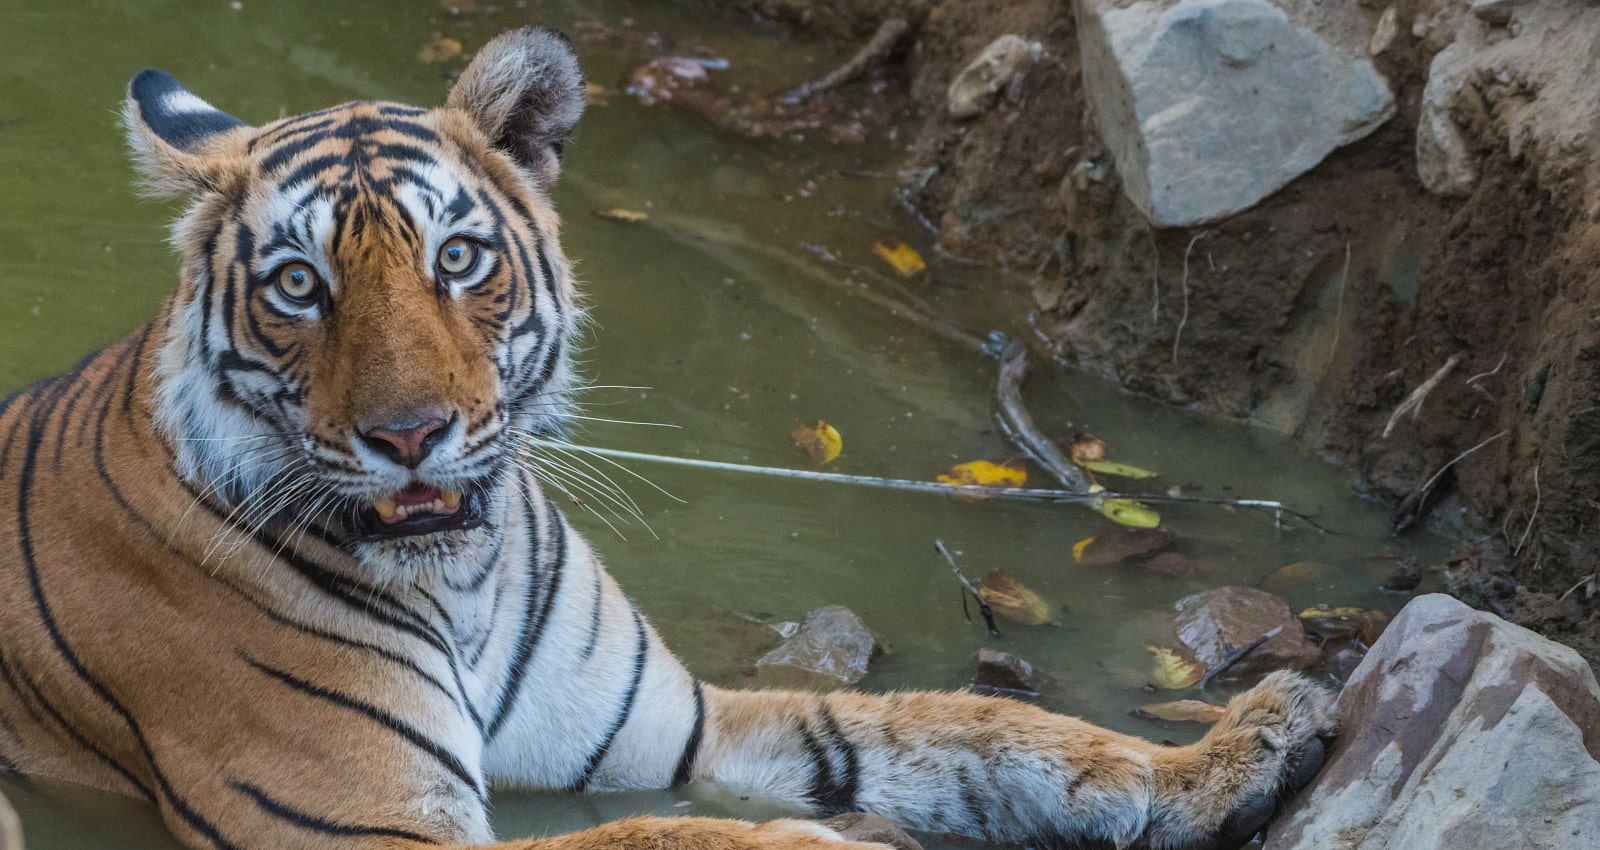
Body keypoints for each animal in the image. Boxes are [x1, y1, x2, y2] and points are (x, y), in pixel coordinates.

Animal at [0, 24, 1337, 850]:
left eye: (458, 259)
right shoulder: (358, 826)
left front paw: (1236, 745)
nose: (411, 434)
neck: (460, 583)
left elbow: (960, 728)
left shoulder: (678, 723)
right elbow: (657, 837)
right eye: (297, 286)